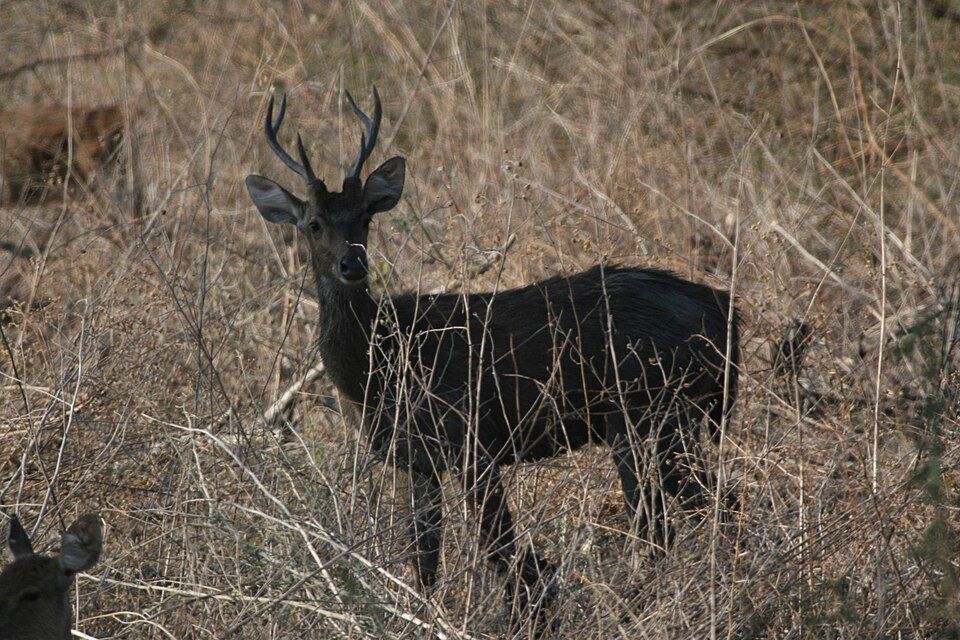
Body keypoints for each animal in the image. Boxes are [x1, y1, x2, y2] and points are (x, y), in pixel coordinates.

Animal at [245, 87, 740, 630]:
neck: (380, 367)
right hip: (662, 418)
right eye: (313, 224)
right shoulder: (416, 460)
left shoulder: (472, 440)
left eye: (365, 218)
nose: (352, 264)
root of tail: (726, 311)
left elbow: (505, 552)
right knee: (700, 511)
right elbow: (424, 559)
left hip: (648, 412)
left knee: (673, 521)